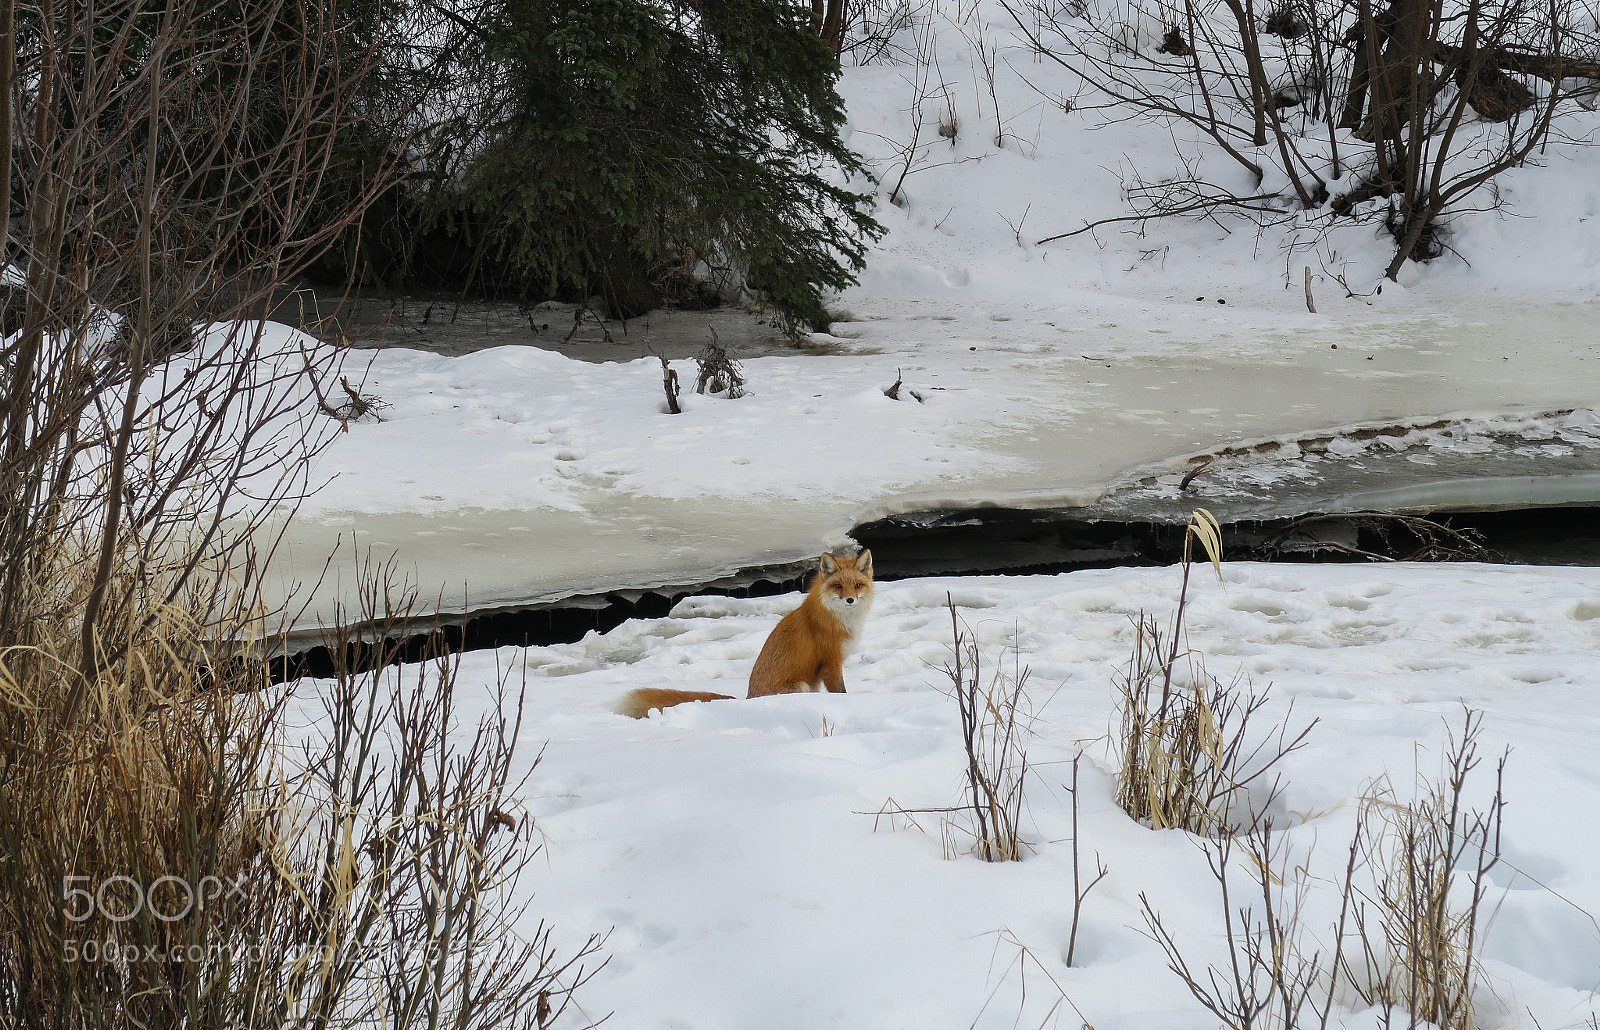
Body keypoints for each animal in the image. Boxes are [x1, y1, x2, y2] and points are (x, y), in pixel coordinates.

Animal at [614, 550, 875, 719]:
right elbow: (841, 692)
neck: (839, 619)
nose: (850, 600)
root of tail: (748, 698)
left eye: (857, 585)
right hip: (801, 686)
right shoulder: (830, 662)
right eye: (838, 586)